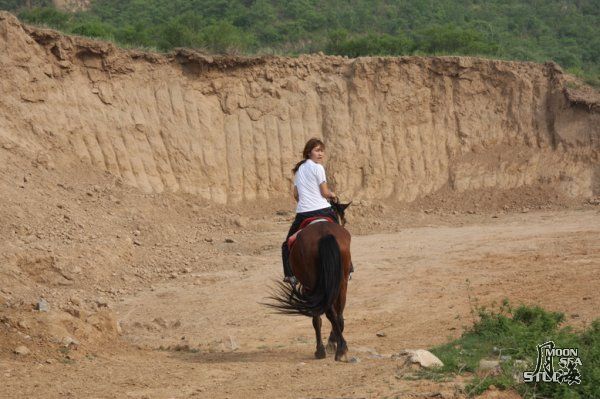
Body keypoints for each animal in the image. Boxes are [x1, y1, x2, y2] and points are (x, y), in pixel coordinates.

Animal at [266, 202, 352, 360]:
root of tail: (324, 234)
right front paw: (331, 343)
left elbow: (318, 318)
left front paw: (323, 348)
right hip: (341, 282)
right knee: (337, 314)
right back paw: (340, 348)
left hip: (313, 285)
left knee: (327, 314)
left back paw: (337, 349)